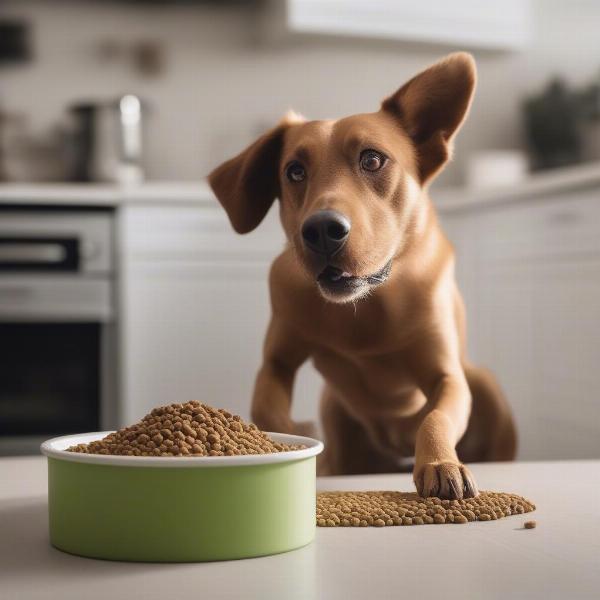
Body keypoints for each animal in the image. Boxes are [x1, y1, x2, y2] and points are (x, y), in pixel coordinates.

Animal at [210, 54, 516, 500]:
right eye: (294, 171)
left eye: (372, 159)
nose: (322, 230)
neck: (366, 305)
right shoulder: (276, 361)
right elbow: (267, 406)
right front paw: (285, 441)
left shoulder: (447, 376)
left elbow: (436, 416)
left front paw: (440, 462)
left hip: (487, 386)